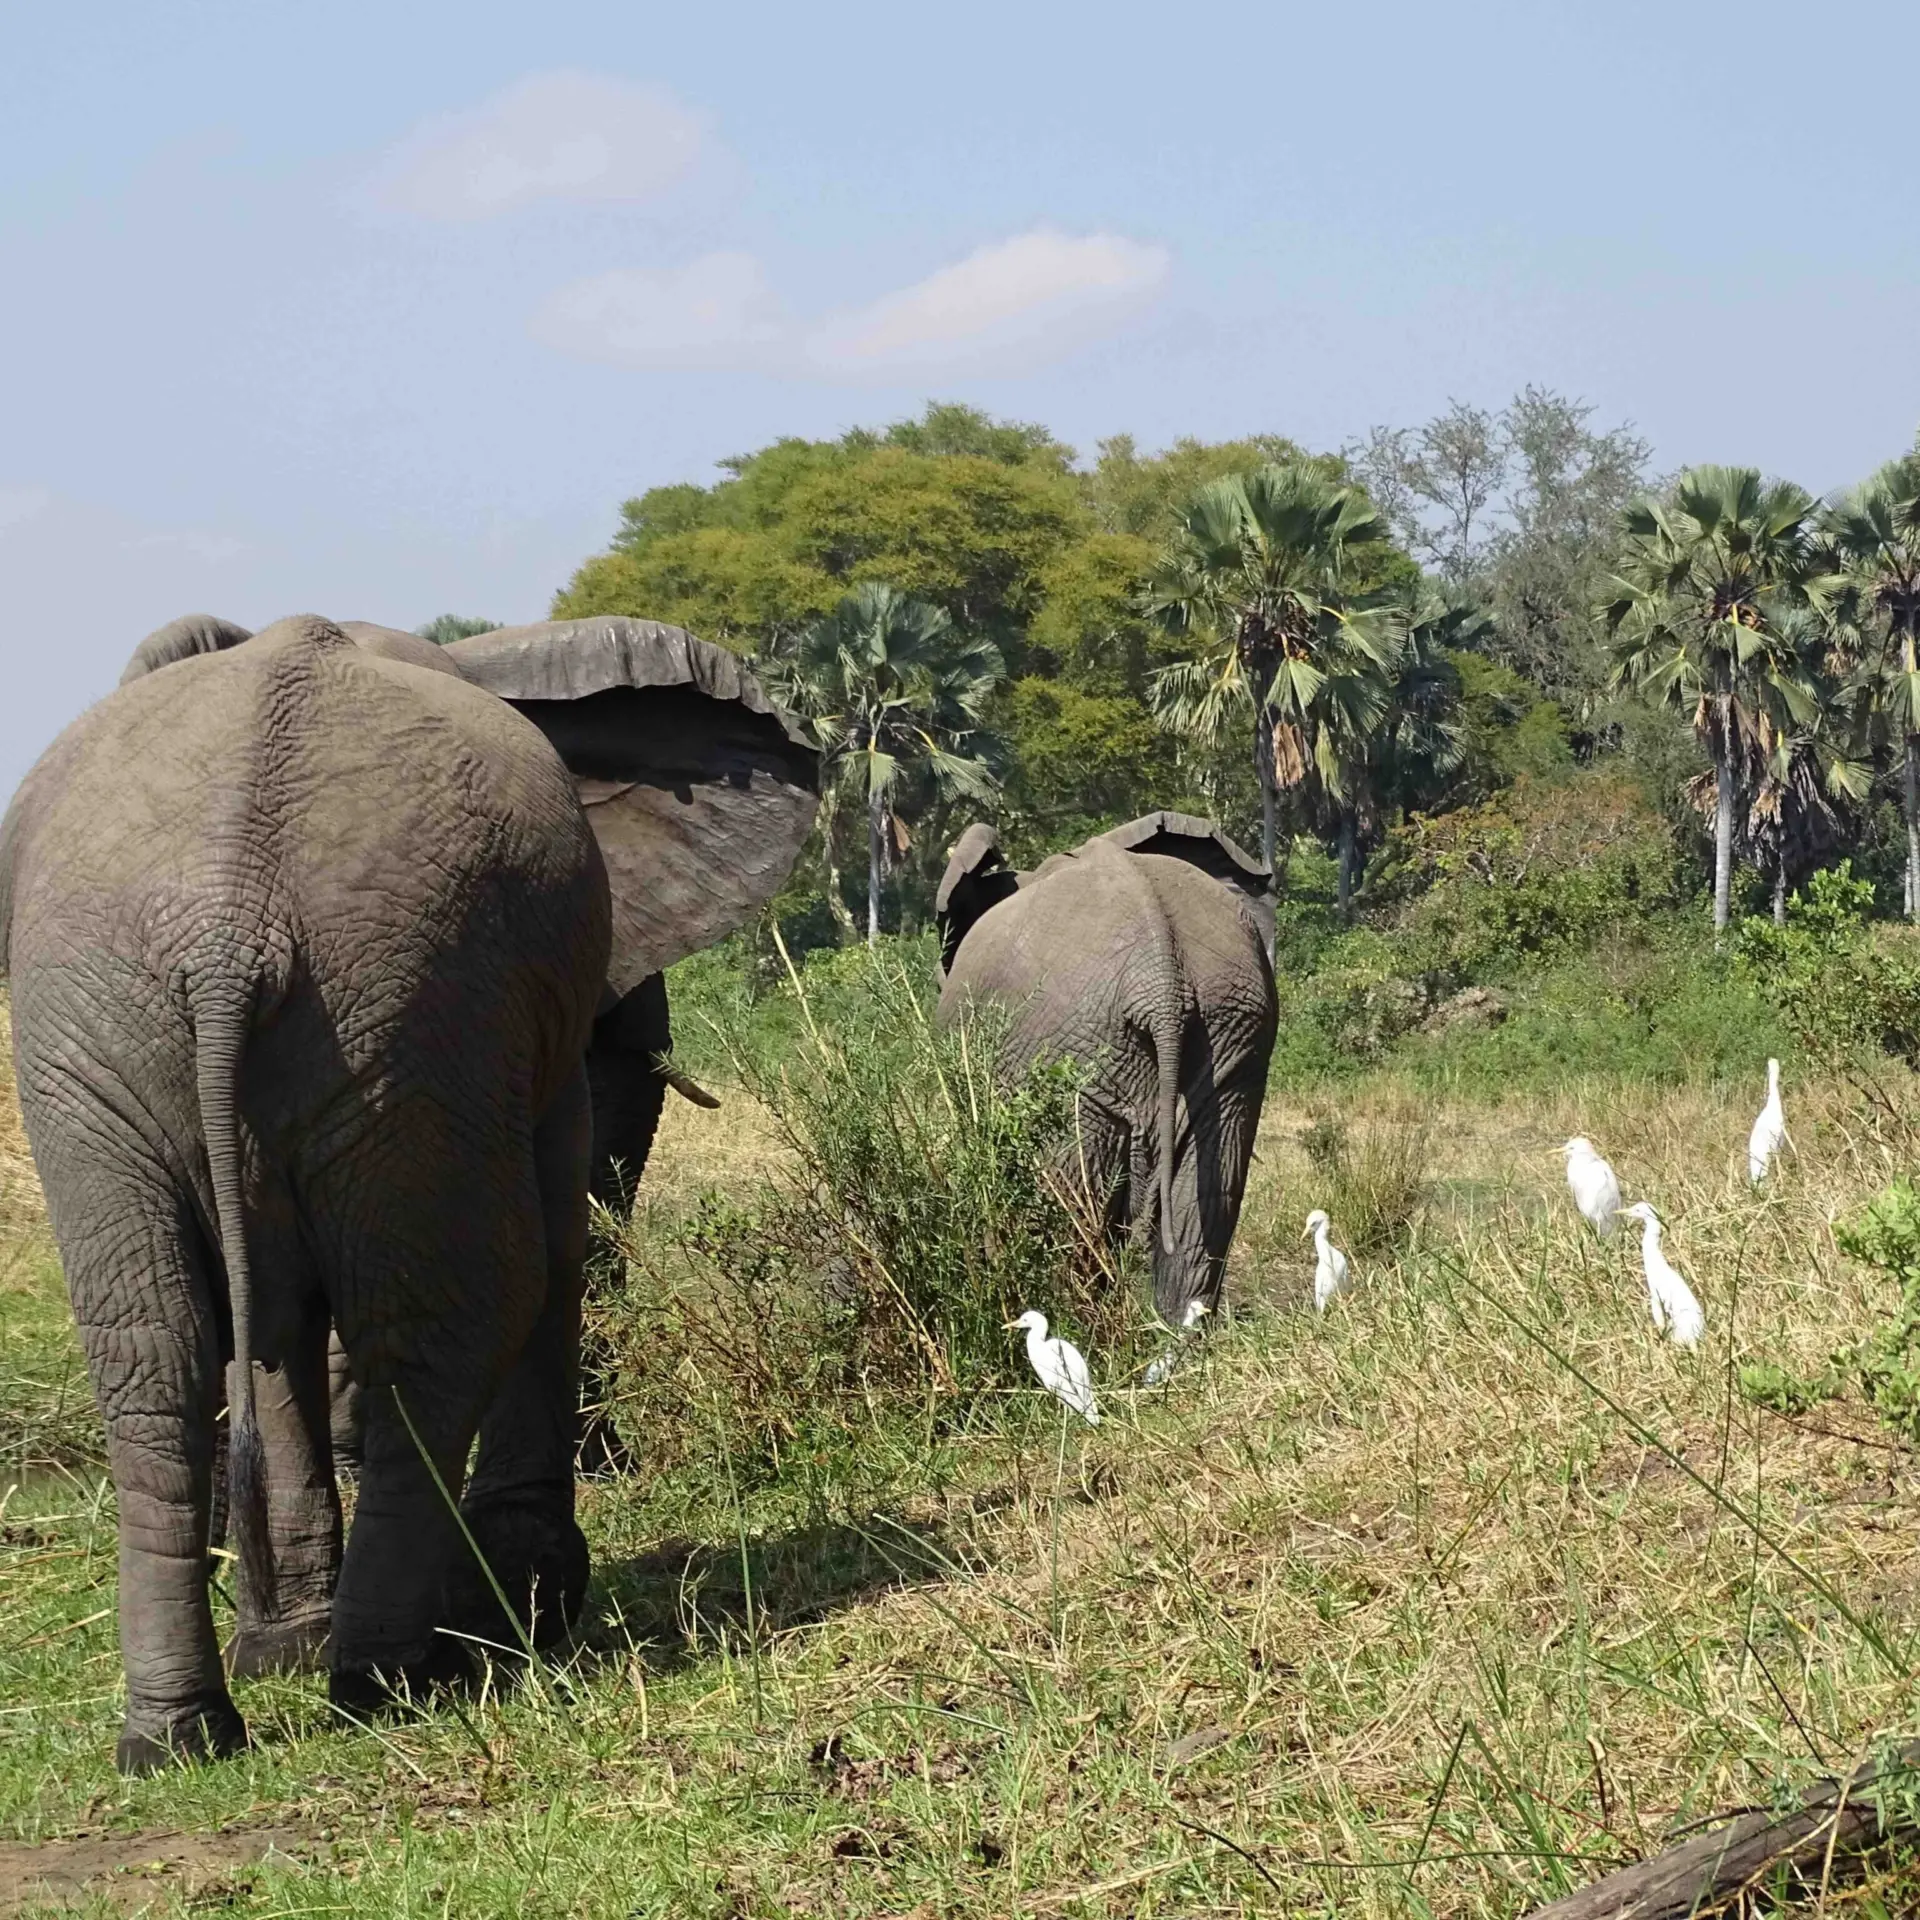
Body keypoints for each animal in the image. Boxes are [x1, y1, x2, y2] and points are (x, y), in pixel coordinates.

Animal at [0, 610, 816, 1772]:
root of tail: (227, 930)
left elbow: (278, 1324)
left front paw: (287, 1645)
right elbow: (556, 1236)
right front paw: (526, 1596)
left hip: (137, 1025)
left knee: (153, 1351)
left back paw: (185, 1733)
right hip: (401, 997)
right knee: (452, 1318)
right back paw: (393, 1676)